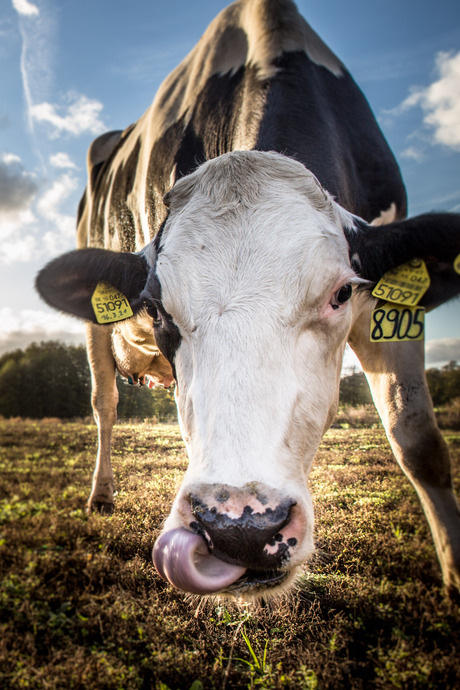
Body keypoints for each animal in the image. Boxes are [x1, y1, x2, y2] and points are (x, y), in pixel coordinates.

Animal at [35, 0, 460, 596]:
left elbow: (418, 440)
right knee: (105, 404)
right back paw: (101, 493)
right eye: (157, 308)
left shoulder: (389, 303)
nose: (239, 530)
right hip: (95, 328)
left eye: (340, 294)